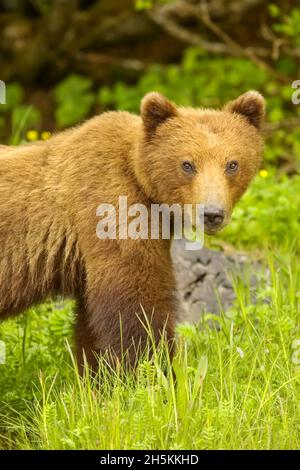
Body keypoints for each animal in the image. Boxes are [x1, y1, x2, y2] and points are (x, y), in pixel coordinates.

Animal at [0, 91, 264, 370]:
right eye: (187, 164)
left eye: (232, 164)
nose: (212, 213)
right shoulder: (109, 205)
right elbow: (135, 299)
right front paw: (154, 367)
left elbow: (90, 324)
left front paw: (97, 372)